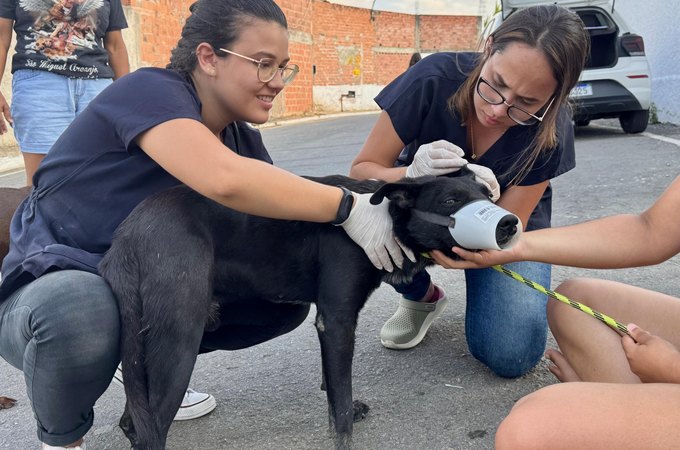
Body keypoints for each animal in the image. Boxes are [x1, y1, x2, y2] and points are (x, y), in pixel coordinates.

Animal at [98, 170, 516, 450]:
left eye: (487, 194)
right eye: (450, 201)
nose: (510, 223)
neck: (384, 218)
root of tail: (127, 234)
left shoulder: (328, 321)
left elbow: (334, 383)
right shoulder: (337, 319)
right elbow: (341, 403)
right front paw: (344, 436)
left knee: (134, 419)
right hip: (179, 338)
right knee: (149, 425)